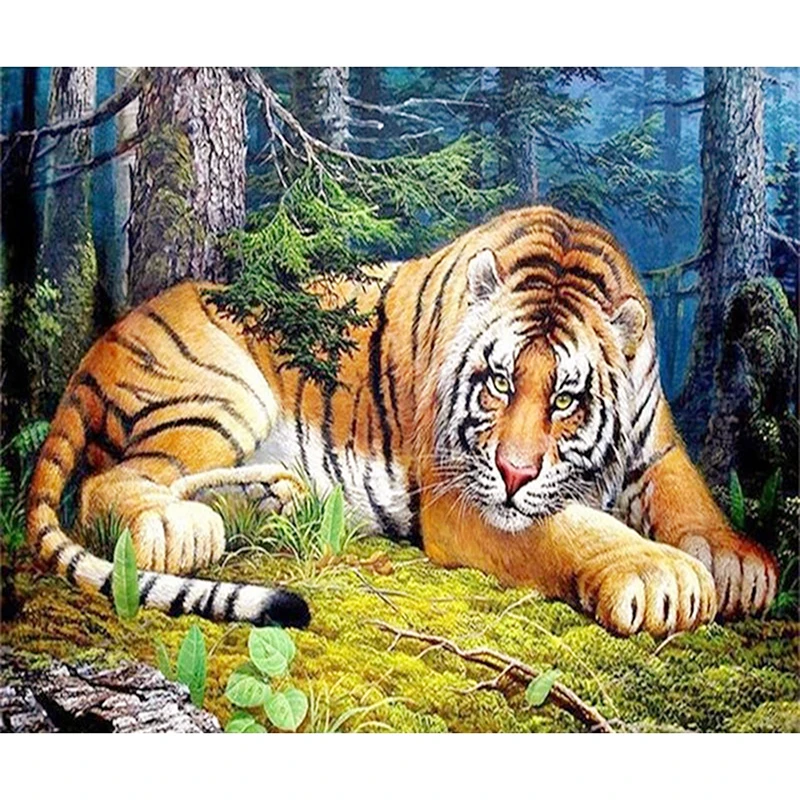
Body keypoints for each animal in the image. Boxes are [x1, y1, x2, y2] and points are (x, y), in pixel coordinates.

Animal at [26, 206, 778, 636]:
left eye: (566, 399)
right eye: (498, 384)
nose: (514, 473)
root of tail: (98, 345)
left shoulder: (658, 446)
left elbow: (689, 497)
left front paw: (741, 564)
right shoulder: (462, 494)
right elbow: (574, 526)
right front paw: (662, 576)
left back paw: (269, 499)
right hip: (220, 391)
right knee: (108, 484)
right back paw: (180, 528)